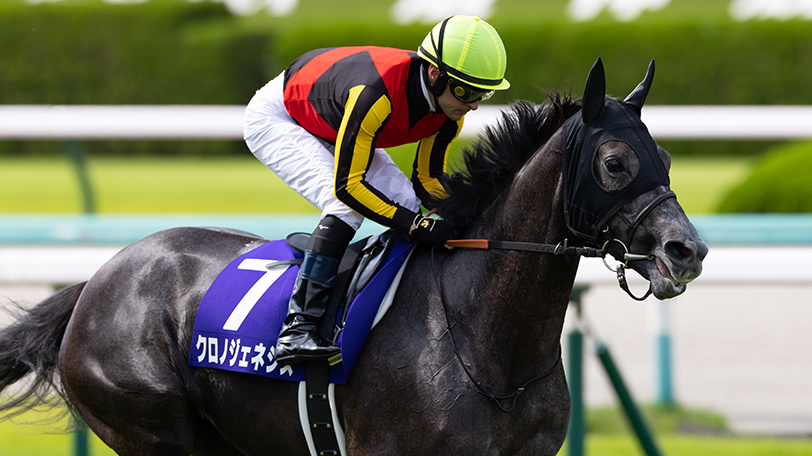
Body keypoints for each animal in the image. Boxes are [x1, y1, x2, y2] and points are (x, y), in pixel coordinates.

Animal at [0, 58, 707, 455]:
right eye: (614, 163)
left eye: (667, 158)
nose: (688, 250)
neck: (486, 341)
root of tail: (96, 281)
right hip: (152, 430)